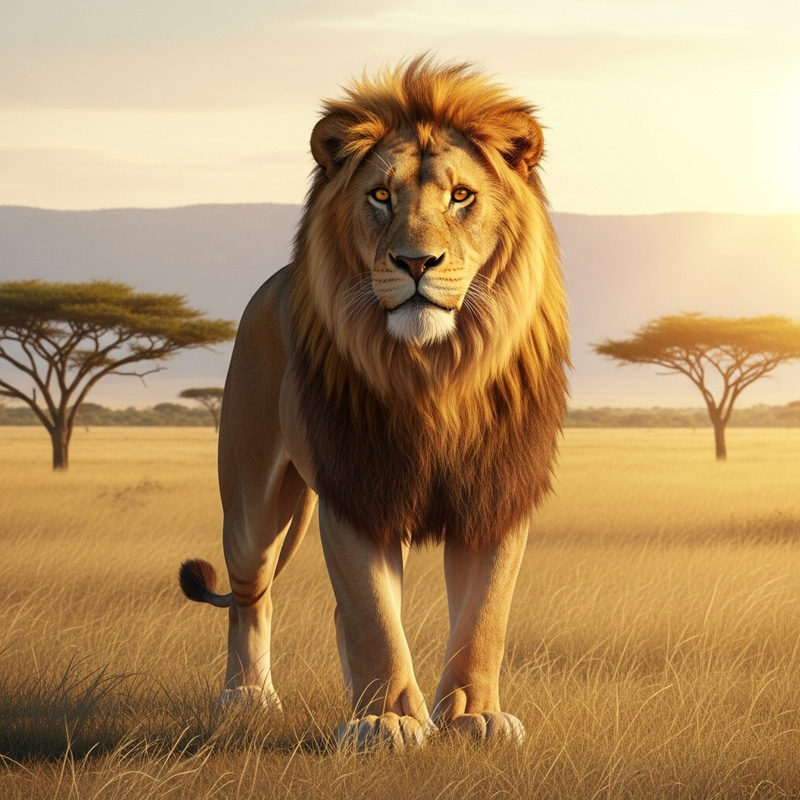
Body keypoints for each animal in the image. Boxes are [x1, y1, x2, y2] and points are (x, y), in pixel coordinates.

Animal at [179, 56, 569, 749]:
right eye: (381, 197)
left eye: (461, 196)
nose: (416, 262)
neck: (434, 372)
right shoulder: (356, 492)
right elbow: (373, 615)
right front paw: (385, 721)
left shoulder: (497, 493)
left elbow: (483, 620)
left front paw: (474, 716)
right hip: (250, 495)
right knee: (252, 591)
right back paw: (247, 698)